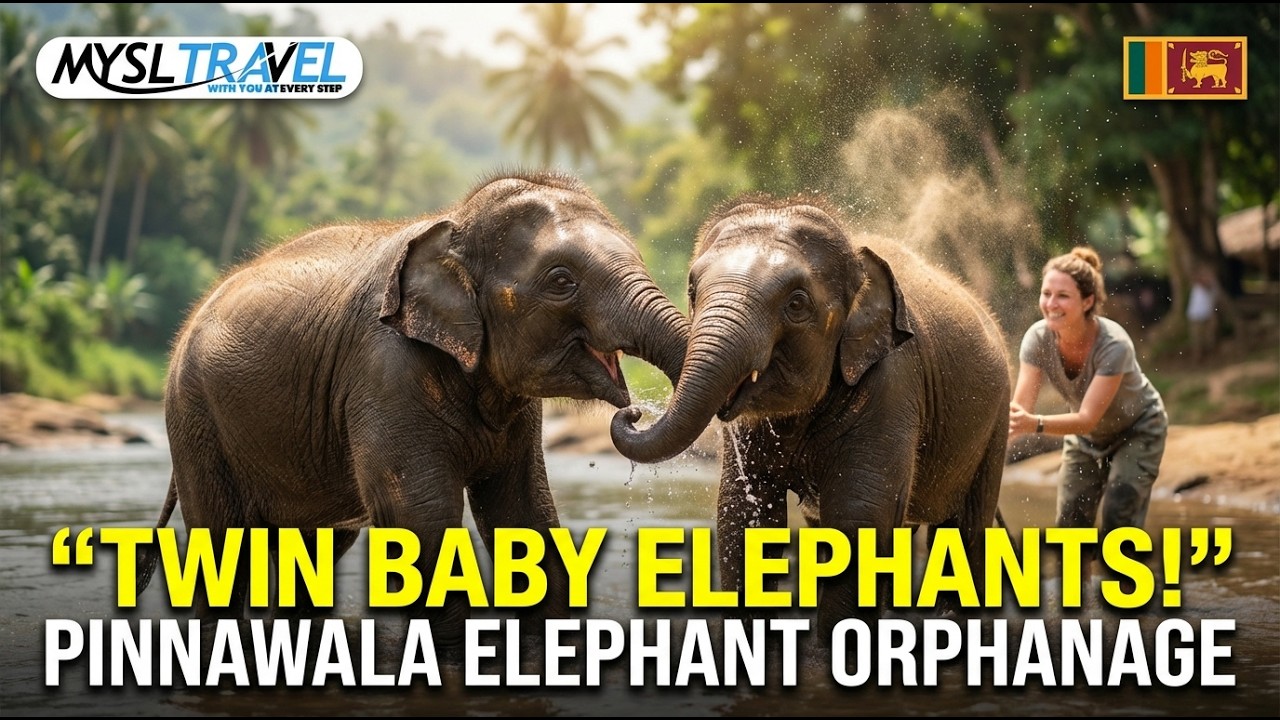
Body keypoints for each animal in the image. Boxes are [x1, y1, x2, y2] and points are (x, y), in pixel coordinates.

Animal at [136, 171, 689, 645]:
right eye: (560, 282)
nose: (634, 412)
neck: (453, 223)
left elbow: (524, 511)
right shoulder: (385, 371)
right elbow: (419, 515)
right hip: (194, 416)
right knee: (219, 542)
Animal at [611, 195, 1010, 634]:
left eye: (797, 304)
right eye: (693, 290)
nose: (632, 412)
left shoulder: (894, 384)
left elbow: (860, 517)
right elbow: (742, 516)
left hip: (997, 421)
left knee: (968, 527)